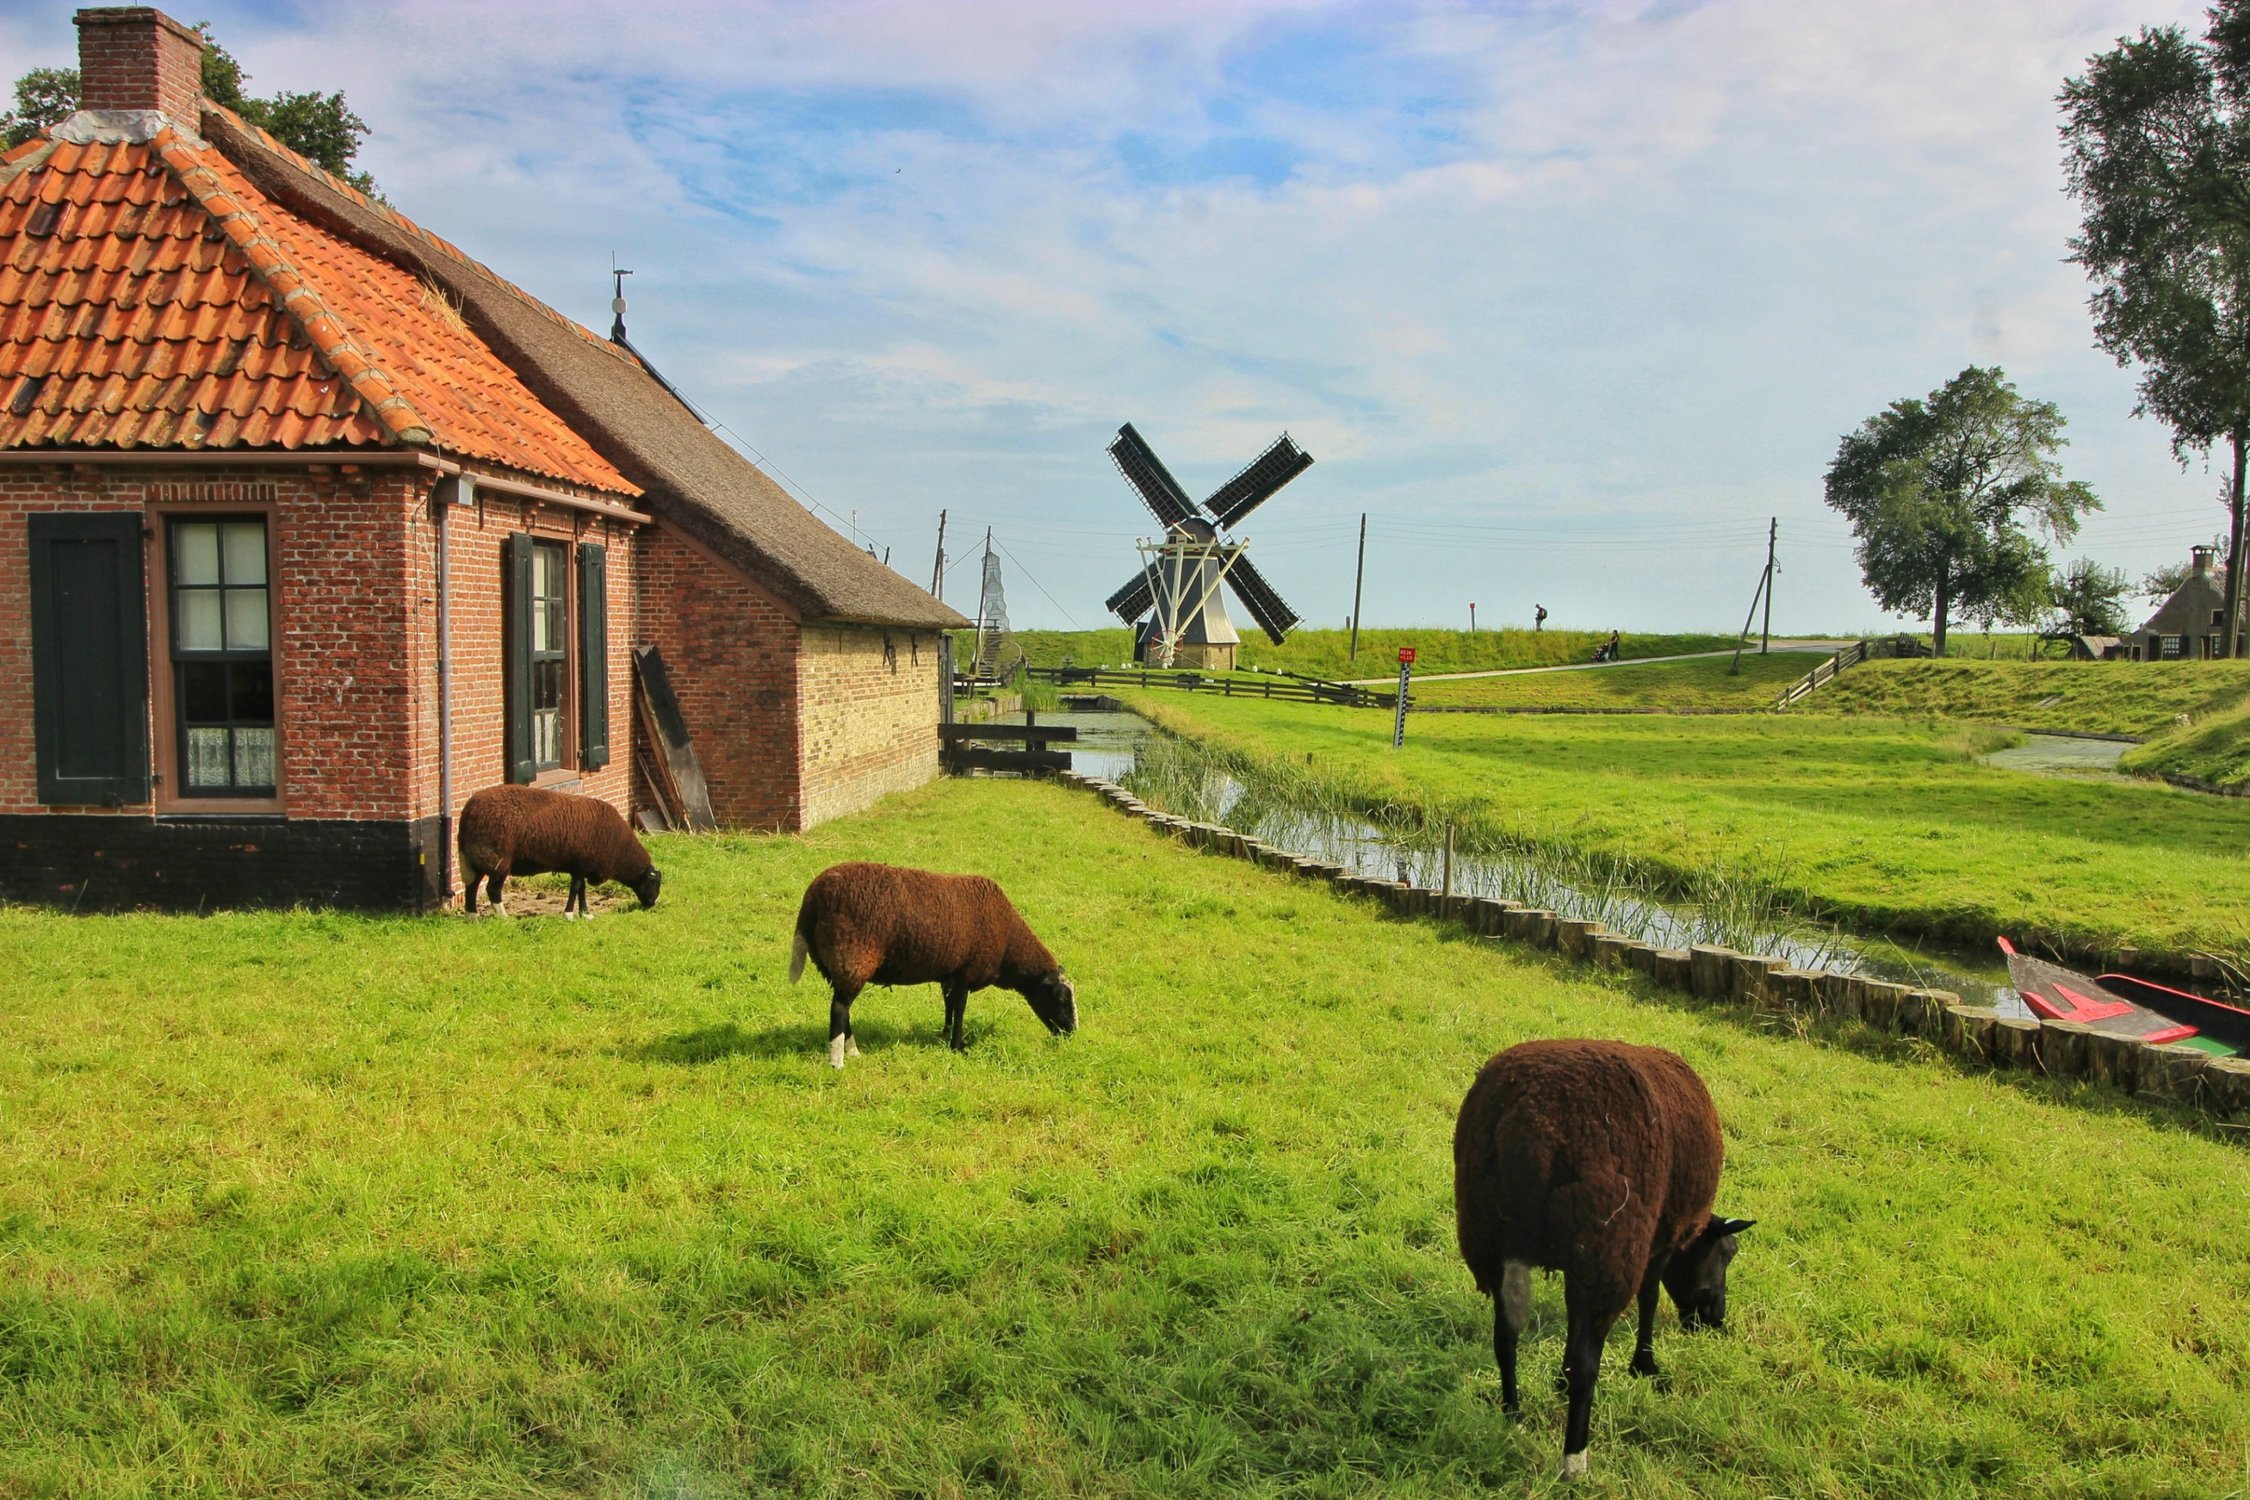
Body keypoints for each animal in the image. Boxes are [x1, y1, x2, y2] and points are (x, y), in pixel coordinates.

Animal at [454, 787, 657, 917]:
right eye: (654, 883)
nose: (652, 905)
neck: (618, 849)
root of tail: (468, 812)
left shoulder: (580, 867)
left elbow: (581, 889)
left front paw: (585, 914)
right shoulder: (581, 864)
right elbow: (576, 889)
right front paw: (569, 914)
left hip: (475, 858)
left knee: (471, 886)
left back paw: (472, 916)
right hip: (497, 859)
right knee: (492, 890)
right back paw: (503, 918)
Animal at [787, 863, 1075, 1061]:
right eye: (1060, 998)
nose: (1071, 1032)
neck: (1007, 942)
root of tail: (812, 898)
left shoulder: (951, 974)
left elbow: (949, 1005)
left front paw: (944, 1034)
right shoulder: (966, 972)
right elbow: (960, 1008)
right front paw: (957, 1046)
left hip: (834, 965)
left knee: (843, 1008)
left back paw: (853, 1051)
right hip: (852, 958)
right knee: (838, 1010)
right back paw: (837, 1061)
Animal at [1458, 1038, 1755, 1484]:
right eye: (1728, 1253)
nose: (1716, 1320)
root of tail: (1525, 1122)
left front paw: (1560, 1382)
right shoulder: (1659, 1234)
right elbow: (1649, 1297)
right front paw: (1645, 1365)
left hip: (1495, 1237)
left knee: (1505, 1335)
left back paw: (1512, 1415)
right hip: (1608, 1242)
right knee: (1586, 1364)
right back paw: (1574, 1462)